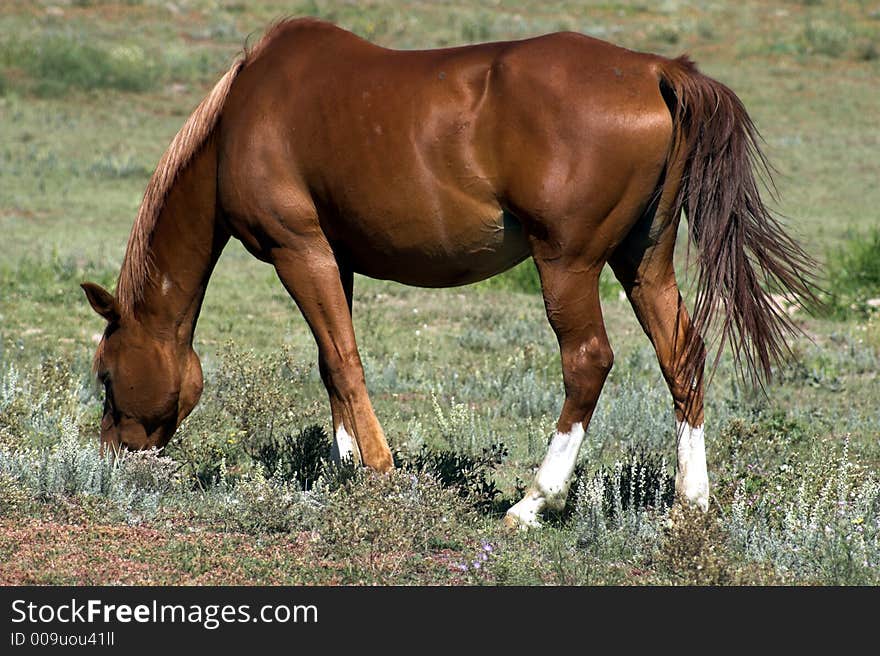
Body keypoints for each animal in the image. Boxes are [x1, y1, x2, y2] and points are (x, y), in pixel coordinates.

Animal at [82, 18, 820, 528]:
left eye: (106, 376)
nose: (114, 455)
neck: (244, 115)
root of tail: (655, 70)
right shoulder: (335, 258)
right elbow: (330, 363)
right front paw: (345, 465)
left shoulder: (300, 250)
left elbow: (344, 360)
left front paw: (380, 472)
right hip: (643, 261)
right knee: (682, 354)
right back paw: (689, 503)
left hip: (569, 265)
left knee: (587, 361)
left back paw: (533, 502)